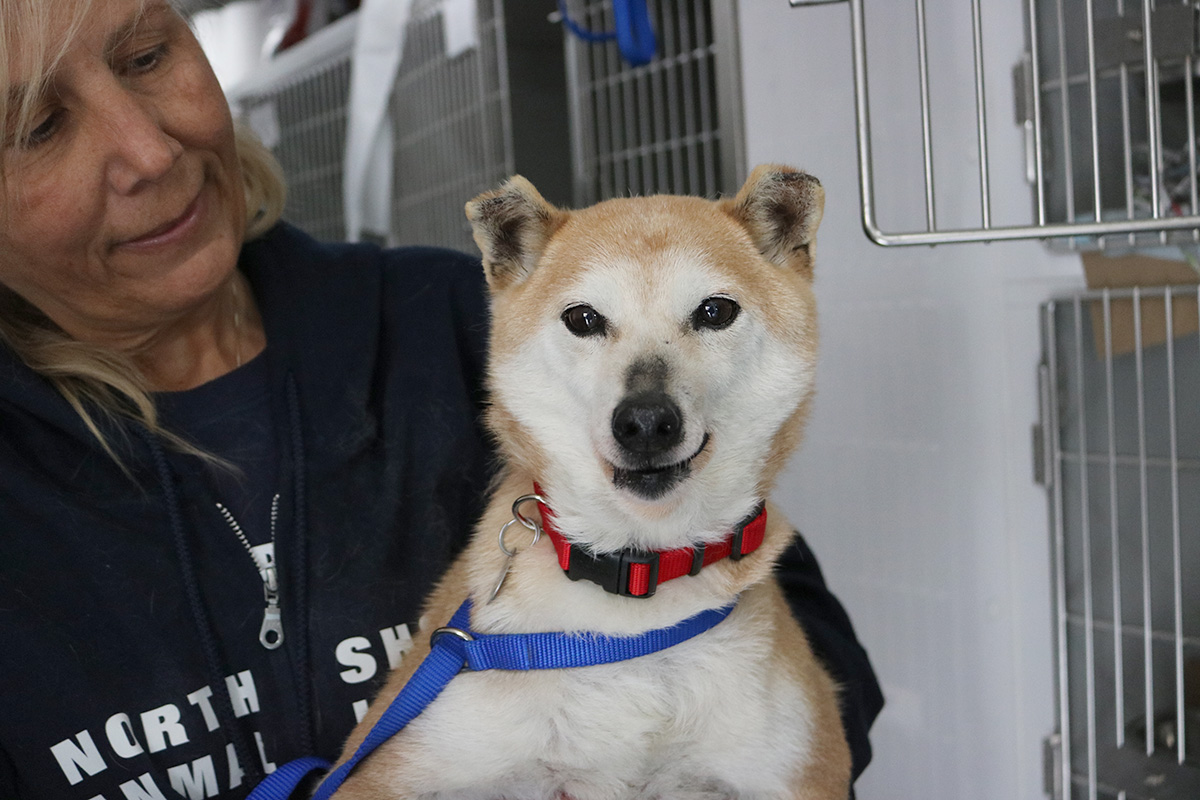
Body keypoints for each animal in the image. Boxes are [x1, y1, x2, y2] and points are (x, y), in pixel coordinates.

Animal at [333, 164, 849, 800]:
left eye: (714, 312)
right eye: (583, 319)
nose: (646, 423)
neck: (638, 584)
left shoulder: (799, 774)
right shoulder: (387, 769)